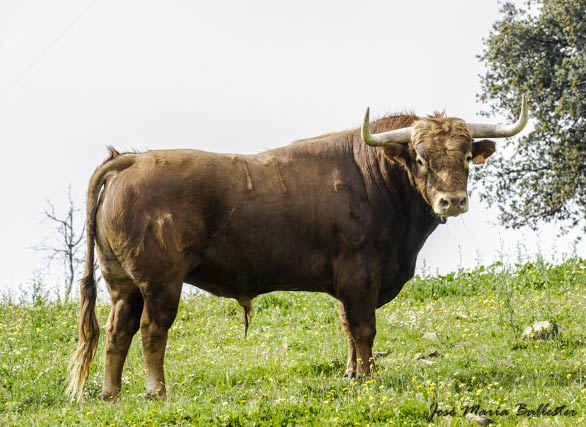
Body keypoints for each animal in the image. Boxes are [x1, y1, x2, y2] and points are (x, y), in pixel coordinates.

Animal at [66, 97, 528, 402]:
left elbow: (348, 328)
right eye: (419, 157)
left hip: (123, 283)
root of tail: (130, 160)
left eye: (466, 155)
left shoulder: (349, 283)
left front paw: (352, 374)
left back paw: (111, 394)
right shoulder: (361, 275)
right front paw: (369, 377)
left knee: (117, 331)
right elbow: (364, 329)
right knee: (151, 330)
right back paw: (156, 392)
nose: (453, 200)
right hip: (160, 281)